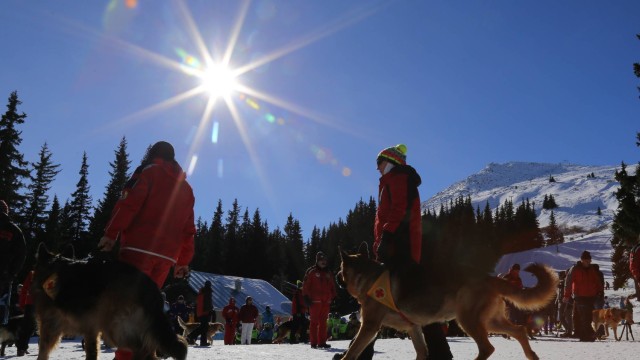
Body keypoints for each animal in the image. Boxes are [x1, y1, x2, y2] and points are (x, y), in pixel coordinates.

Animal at [31, 246, 188, 360]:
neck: (54, 266)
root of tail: (150, 286)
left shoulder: (49, 326)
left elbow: (42, 353)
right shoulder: (91, 329)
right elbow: (92, 353)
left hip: (115, 328)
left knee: (143, 353)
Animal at [338, 243, 556, 360]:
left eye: (340, 270)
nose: (337, 278)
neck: (368, 275)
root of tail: (491, 278)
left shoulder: (369, 326)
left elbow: (352, 351)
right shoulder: (414, 329)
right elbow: (421, 352)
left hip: (468, 321)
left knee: (488, 348)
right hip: (491, 322)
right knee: (519, 331)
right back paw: (531, 355)